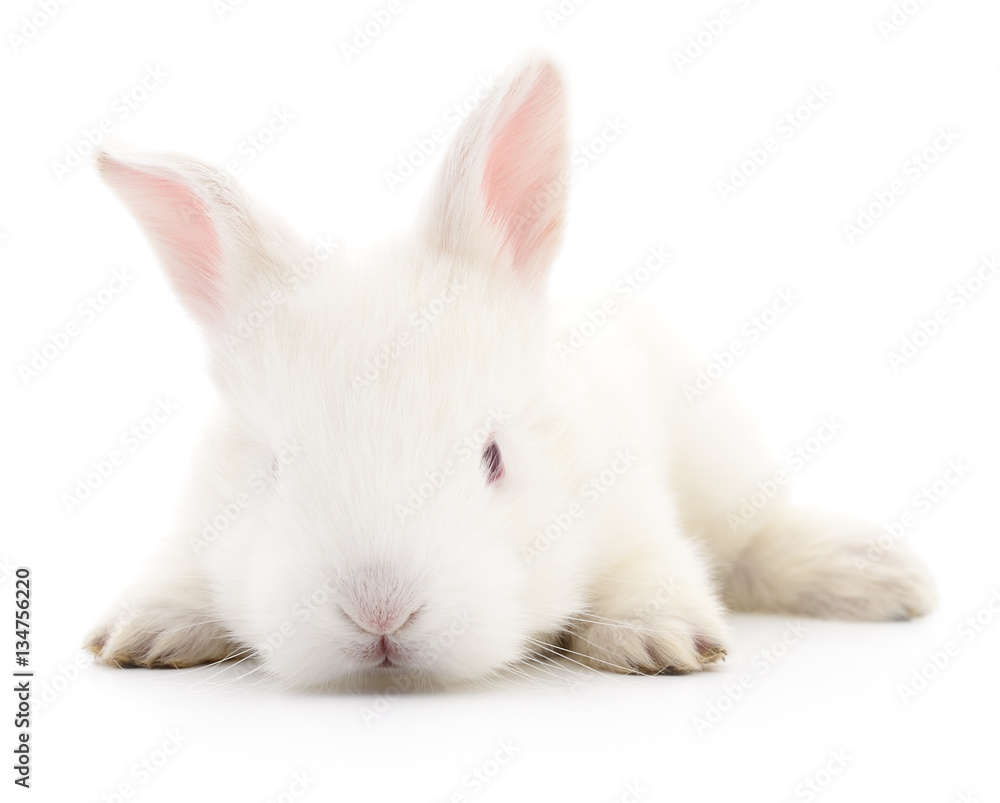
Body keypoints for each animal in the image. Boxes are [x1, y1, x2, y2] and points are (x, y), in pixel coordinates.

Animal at [84, 57, 936, 689]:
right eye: (269, 471)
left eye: (494, 458)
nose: (381, 614)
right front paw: (144, 629)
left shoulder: (633, 507)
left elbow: (655, 568)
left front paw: (659, 638)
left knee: (757, 539)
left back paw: (883, 576)